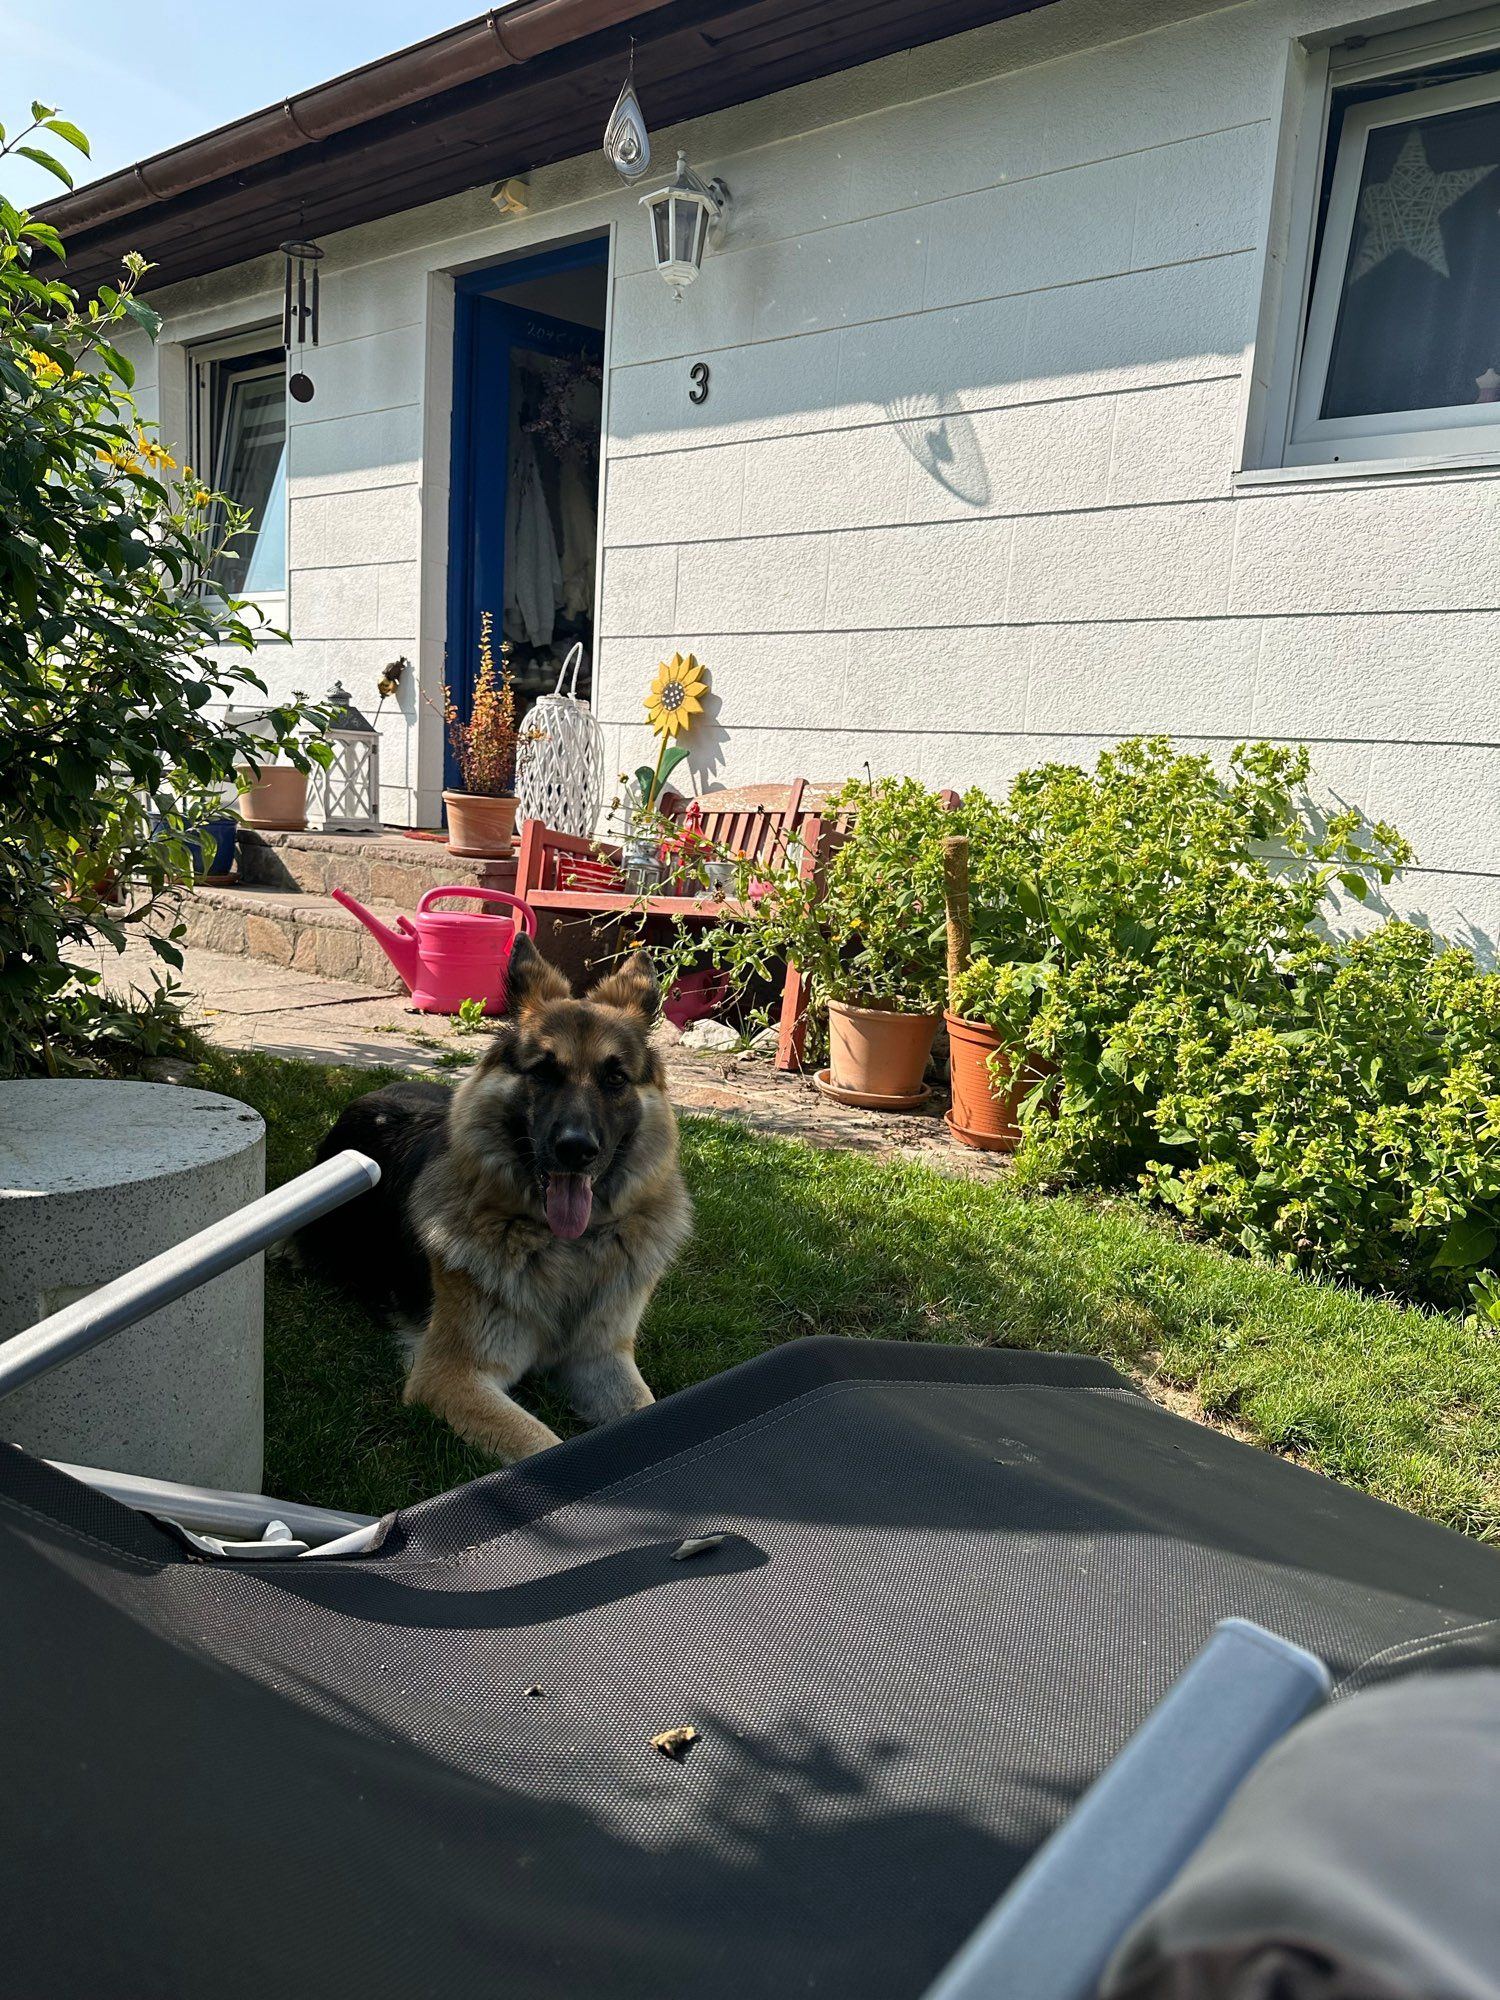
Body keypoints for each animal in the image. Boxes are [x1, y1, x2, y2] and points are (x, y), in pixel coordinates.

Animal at [296, 936, 696, 1456]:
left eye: (615, 1079)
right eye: (544, 1073)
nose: (576, 1150)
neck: (564, 1248)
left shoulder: (602, 1358)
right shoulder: (451, 1376)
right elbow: (541, 1443)